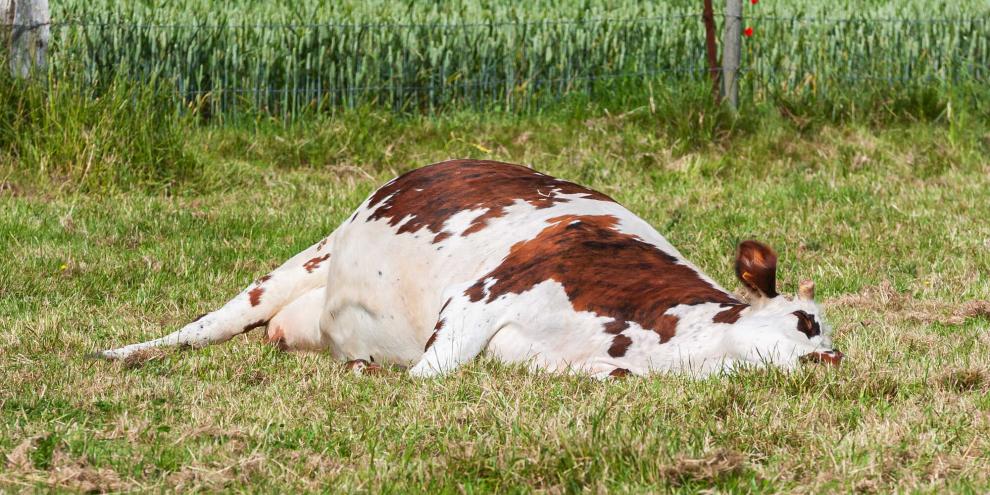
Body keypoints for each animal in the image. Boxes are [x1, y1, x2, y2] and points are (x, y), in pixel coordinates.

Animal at [98, 159, 842, 377]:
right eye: (807, 320)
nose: (830, 359)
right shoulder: (479, 300)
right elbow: (428, 374)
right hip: (306, 259)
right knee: (210, 322)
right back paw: (122, 352)